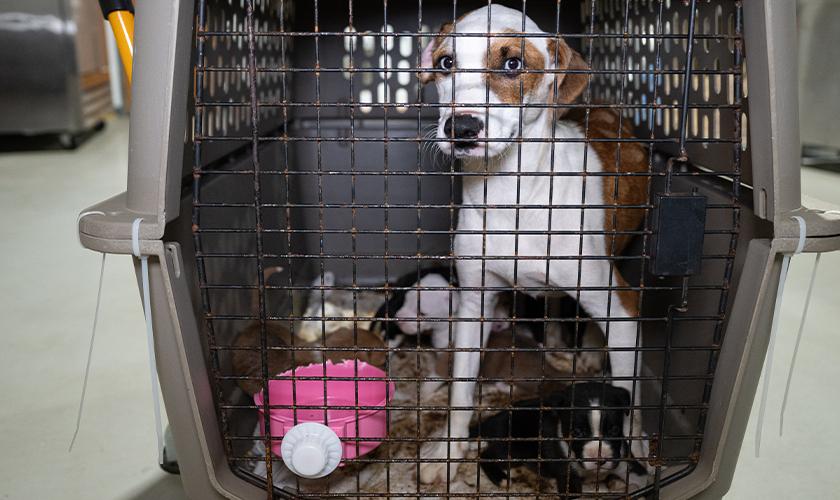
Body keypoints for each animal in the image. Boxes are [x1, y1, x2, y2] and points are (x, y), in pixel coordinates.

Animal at [416, 2, 648, 480]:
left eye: (513, 64)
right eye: (447, 63)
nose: (461, 127)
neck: (512, 193)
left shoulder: (622, 308)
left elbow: (629, 397)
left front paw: (630, 454)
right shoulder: (475, 302)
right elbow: (461, 389)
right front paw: (447, 449)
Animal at [470, 382, 648, 496]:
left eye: (614, 430)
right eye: (577, 432)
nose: (600, 460)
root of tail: (493, 420)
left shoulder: (625, 460)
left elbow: (644, 478)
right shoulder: (567, 475)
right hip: (513, 449)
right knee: (484, 456)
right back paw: (501, 478)